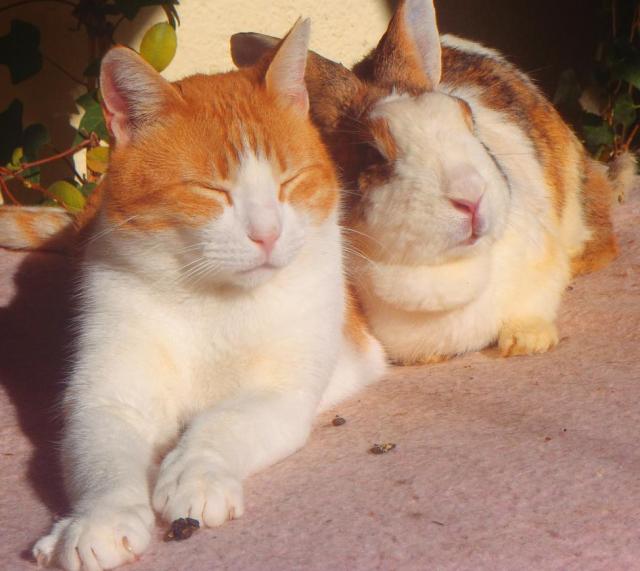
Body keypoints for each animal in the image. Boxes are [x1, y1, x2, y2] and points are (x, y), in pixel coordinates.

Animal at [231, 0, 636, 365]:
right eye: (373, 154)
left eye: (467, 118)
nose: (471, 197)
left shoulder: (540, 266)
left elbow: (534, 304)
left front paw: (526, 342)